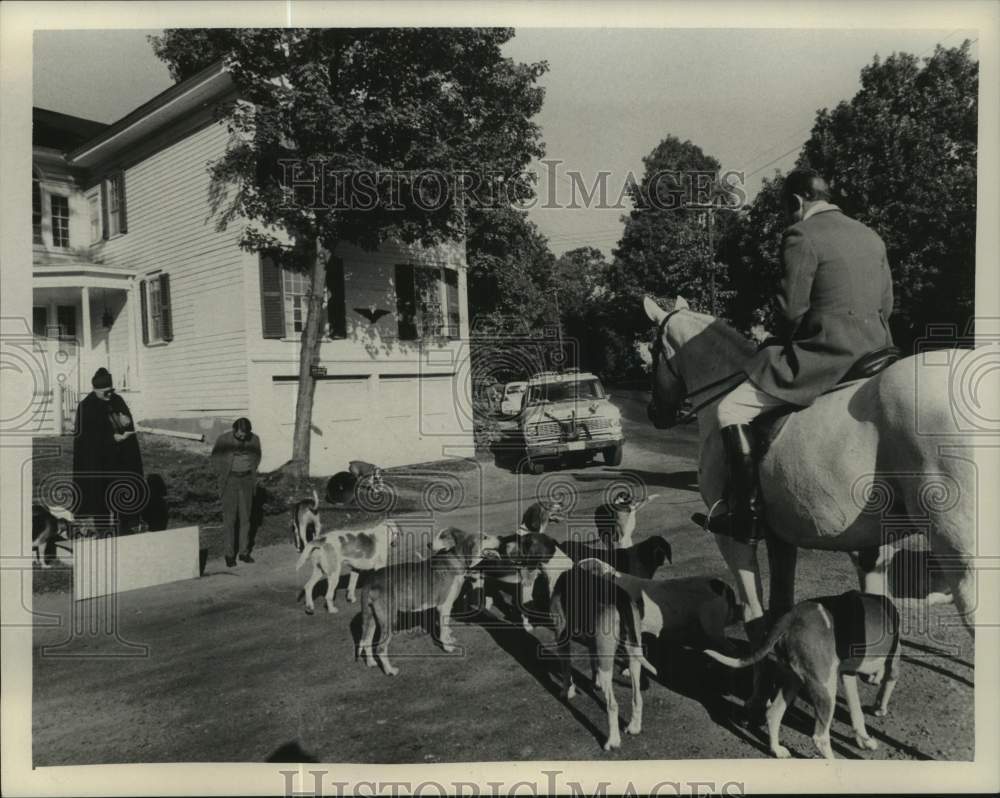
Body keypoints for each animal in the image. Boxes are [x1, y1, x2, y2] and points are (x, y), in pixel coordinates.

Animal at [358, 532, 504, 676]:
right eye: (485, 537)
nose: (501, 538)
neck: (455, 559)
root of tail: (370, 580)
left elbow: (445, 628)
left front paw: (449, 640)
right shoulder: (444, 606)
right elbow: (444, 631)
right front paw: (448, 647)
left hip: (372, 619)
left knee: (366, 641)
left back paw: (371, 663)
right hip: (389, 621)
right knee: (380, 648)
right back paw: (390, 670)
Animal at [640, 294, 976, 644]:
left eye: (652, 349)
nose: (654, 413)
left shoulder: (731, 535)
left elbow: (754, 612)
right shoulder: (783, 535)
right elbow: (780, 605)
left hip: (959, 552)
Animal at [704, 592, 908, 760]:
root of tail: (791, 616)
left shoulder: (847, 674)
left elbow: (856, 712)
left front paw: (864, 740)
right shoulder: (893, 661)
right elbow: (888, 683)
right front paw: (880, 709)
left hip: (793, 681)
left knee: (773, 714)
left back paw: (777, 750)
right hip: (825, 689)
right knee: (820, 737)